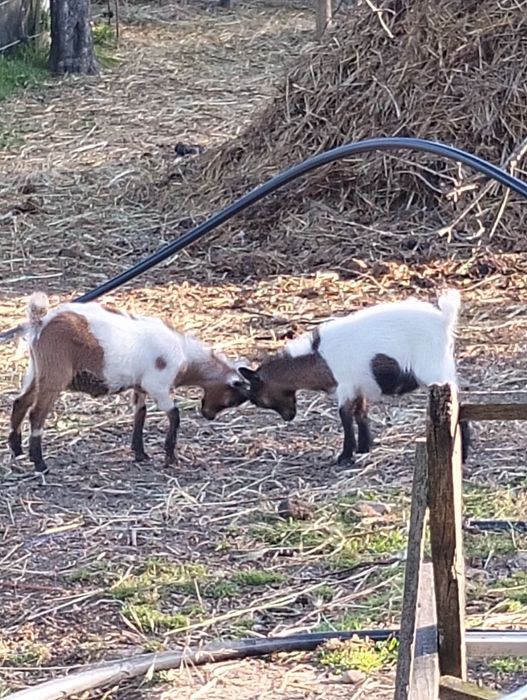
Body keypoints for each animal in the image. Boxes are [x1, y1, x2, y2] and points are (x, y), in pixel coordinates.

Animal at [9, 293, 249, 473]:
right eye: (232, 400)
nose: (208, 415)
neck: (185, 356)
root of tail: (40, 323)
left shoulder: (140, 387)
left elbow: (139, 414)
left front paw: (140, 453)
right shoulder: (158, 386)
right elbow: (174, 415)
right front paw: (170, 457)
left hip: (36, 370)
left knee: (20, 402)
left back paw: (17, 450)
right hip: (55, 372)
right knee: (37, 413)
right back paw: (39, 463)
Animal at [239, 290, 470, 465]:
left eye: (258, 399)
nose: (289, 416)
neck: (319, 359)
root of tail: (444, 320)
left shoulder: (346, 386)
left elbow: (345, 416)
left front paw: (345, 456)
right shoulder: (360, 386)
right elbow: (361, 415)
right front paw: (363, 448)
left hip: (433, 371)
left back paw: (461, 456)